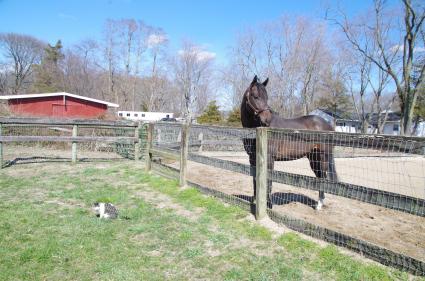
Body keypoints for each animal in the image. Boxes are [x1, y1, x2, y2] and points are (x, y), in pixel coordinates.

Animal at [240, 75, 336, 209]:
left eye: (266, 97)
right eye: (255, 96)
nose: (267, 120)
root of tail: (328, 125)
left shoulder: (269, 158)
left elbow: (268, 180)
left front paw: (269, 205)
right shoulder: (252, 159)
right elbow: (254, 179)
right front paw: (254, 201)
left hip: (322, 157)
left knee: (323, 177)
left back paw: (319, 205)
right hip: (313, 157)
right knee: (319, 176)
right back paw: (319, 203)